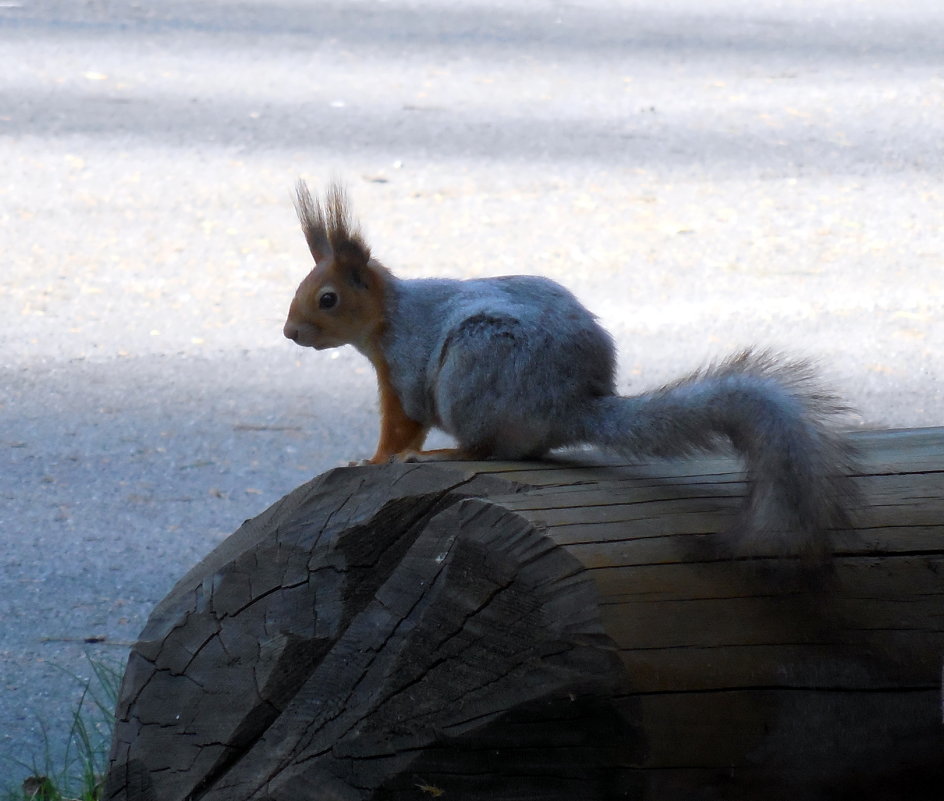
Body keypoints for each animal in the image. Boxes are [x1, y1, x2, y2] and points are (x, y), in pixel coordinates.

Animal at [280, 181, 856, 560]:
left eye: (327, 299)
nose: (289, 332)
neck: (388, 317)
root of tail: (571, 404)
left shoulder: (403, 368)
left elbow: (402, 426)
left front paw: (373, 460)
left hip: (475, 368)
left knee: (488, 448)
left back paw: (445, 453)